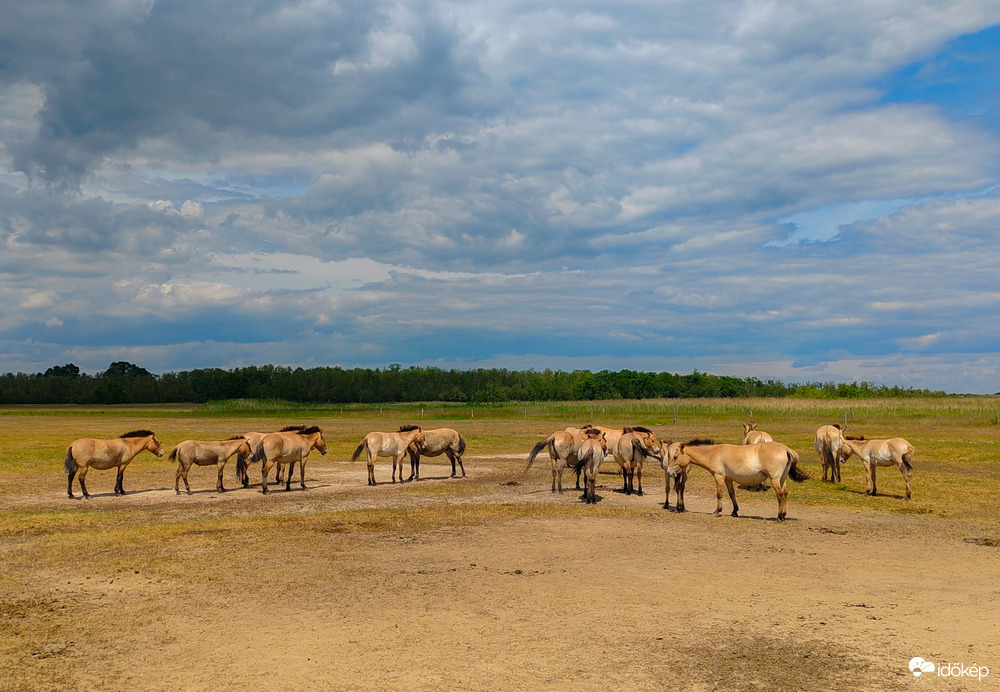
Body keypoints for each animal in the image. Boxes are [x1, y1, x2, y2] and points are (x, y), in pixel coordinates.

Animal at [664, 440, 812, 520]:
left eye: (675, 457)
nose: (669, 472)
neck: (714, 453)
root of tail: (786, 449)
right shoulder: (728, 479)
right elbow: (731, 495)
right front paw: (734, 511)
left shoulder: (719, 476)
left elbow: (719, 494)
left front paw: (717, 511)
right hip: (782, 479)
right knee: (785, 494)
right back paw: (784, 515)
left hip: (775, 479)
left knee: (780, 495)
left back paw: (779, 517)